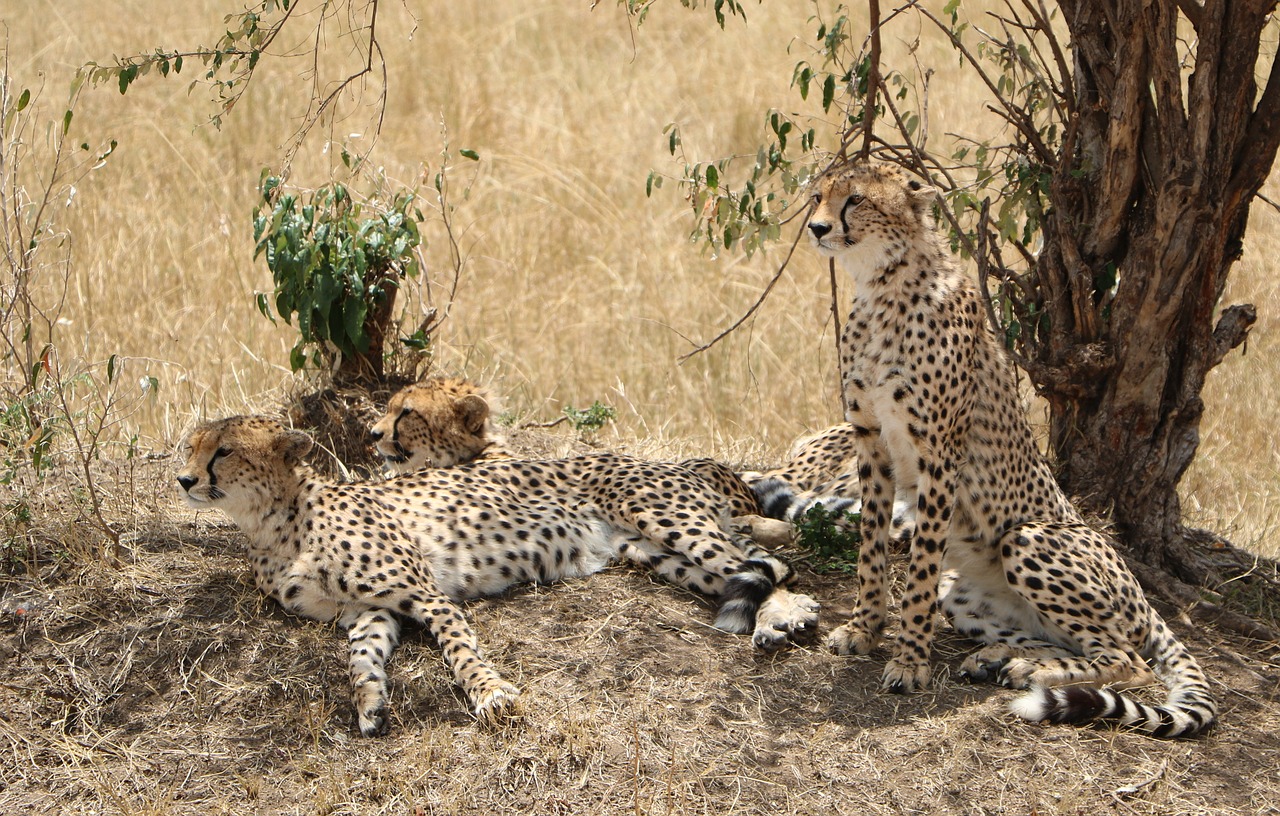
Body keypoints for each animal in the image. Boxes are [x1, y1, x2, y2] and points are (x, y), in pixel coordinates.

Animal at [177, 414, 819, 736]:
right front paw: (370, 703)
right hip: (654, 553)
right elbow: (360, 658)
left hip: (663, 517)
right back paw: (774, 617)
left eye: (224, 451)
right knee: (746, 568)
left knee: (766, 565)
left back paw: (787, 617)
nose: (184, 480)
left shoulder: (426, 594)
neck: (275, 522)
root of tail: (683, 462)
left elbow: (461, 651)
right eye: (189, 447)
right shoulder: (368, 609)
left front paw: (492, 696)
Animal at [803, 161, 1213, 741]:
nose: (816, 228)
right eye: (818, 195)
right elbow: (870, 549)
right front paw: (864, 628)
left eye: (855, 200)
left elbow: (920, 569)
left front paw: (909, 661)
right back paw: (1004, 660)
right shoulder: (871, 441)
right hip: (963, 593)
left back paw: (1030, 671)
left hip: (1027, 539)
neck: (883, 284)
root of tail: (1143, 598)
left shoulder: (940, 455)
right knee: (1069, 642)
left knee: (1131, 661)